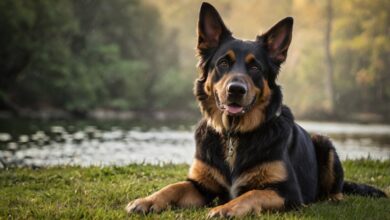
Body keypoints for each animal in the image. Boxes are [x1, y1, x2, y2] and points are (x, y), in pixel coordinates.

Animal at [125, 2, 386, 218]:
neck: (234, 135)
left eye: (255, 67)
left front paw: (226, 208)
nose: (236, 90)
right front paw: (148, 200)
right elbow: (173, 187)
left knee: (336, 190)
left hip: (323, 142)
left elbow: (252, 193)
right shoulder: (201, 186)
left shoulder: (288, 192)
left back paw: (332, 199)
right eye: (223, 63)